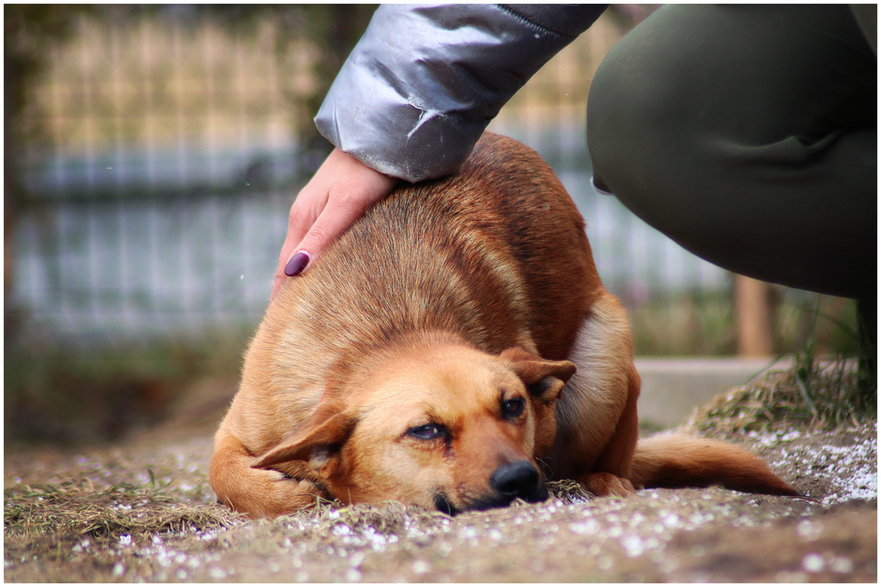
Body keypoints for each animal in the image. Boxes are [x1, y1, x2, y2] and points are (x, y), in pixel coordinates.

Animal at [208, 133, 796, 520]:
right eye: (425, 431)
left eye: (513, 406)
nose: (518, 478)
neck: (386, 332)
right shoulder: (237, 429)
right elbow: (226, 475)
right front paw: (293, 493)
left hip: (606, 367)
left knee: (609, 464)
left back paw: (602, 482)